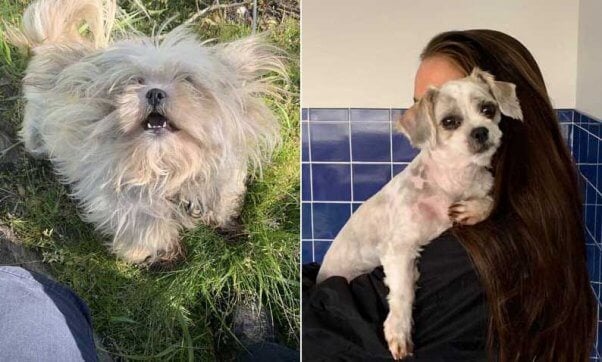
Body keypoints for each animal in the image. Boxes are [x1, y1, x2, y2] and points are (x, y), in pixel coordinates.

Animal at [5, 0, 284, 266]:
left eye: (188, 80)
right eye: (136, 80)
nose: (155, 92)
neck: (165, 168)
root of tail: (52, 42)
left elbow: (223, 203)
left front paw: (226, 223)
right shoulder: (123, 204)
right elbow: (147, 229)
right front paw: (156, 255)